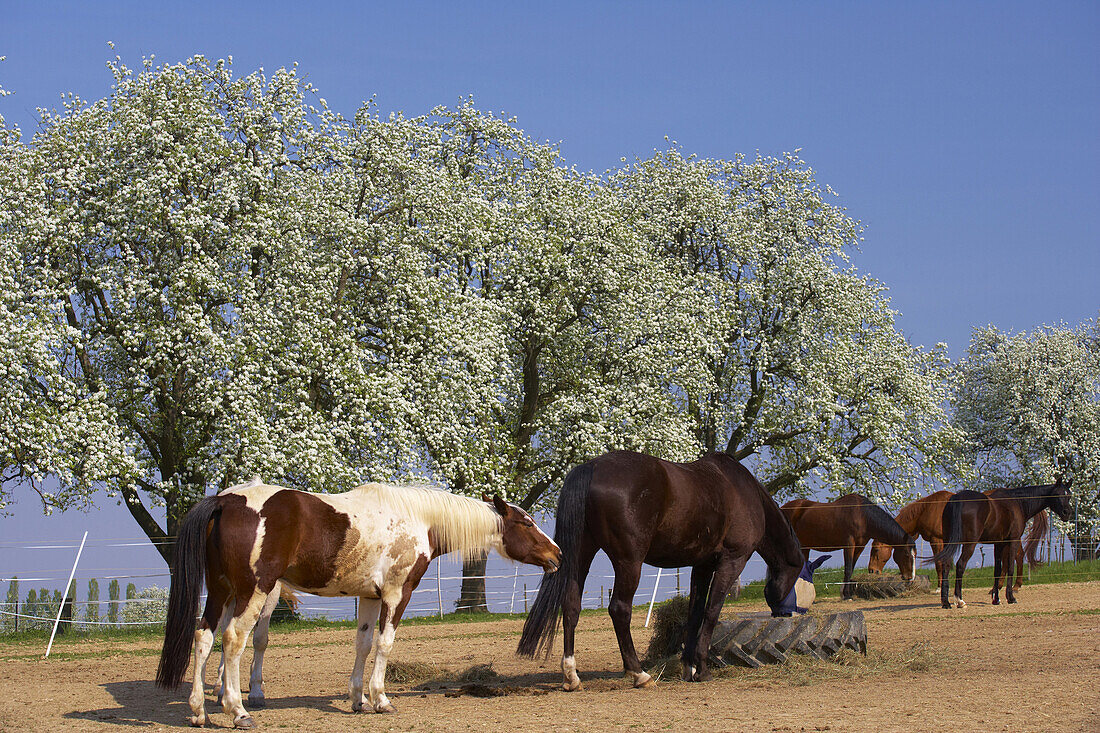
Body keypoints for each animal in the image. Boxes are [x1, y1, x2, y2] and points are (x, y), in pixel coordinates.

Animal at [154, 479, 558, 726]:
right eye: (526, 524)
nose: (557, 553)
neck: (417, 520)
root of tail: (224, 501)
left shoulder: (369, 596)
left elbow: (363, 644)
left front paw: (357, 700)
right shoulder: (397, 594)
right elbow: (385, 643)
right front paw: (380, 699)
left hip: (221, 591)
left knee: (204, 637)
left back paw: (198, 712)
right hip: (252, 592)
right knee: (234, 640)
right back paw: (237, 711)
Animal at [514, 449, 818, 686]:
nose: (786, 613)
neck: (744, 492)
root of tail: (592, 467)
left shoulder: (702, 565)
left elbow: (694, 612)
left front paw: (689, 667)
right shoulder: (732, 561)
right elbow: (712, 612)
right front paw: (703, 669)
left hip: (580, 557)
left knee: (571, 606)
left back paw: (571, 675)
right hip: (629, 562)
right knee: (619, 610)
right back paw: (639, 674)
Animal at [783, 490, 919, 598]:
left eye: (915, 555)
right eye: (907, 555)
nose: (910, 579)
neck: (863, 516)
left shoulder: (859, 547)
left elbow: (851, 568)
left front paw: (845, 593)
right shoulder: (849, 545)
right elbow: (847, 569)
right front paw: (847, 595)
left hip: (805, 547)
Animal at [928, 479, 1073, 603]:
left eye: (1069, 496)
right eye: (1058, 495)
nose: (1067, 513)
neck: (1017, 502)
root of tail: (957, 499)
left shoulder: (999, 543)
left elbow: (997, 570)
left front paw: (996, 599)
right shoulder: (1013, 541)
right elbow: (1010, 567)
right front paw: (1010, 597)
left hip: (949, 542)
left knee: (946, 565)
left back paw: (946, 602)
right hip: (969, 544)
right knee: (960, 565)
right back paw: (959, 600)